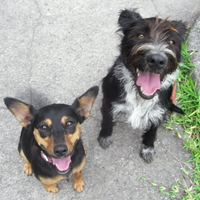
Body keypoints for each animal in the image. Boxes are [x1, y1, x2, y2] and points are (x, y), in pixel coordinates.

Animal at [97, 9, 187, 162]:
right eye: (140, 35)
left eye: (171, 41)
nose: (157, 60)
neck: (139, 96)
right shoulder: (109, 101)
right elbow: (107, 120)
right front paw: (105, 136)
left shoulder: (157, 113)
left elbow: (152, 132)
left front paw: (148, 149)